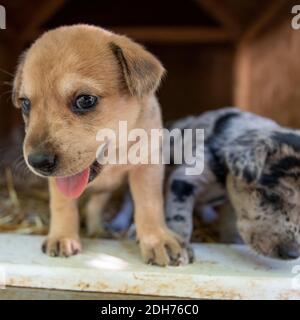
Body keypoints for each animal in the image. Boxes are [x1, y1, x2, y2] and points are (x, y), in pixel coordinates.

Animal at [12, 24, 183, 264]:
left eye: (85, 100)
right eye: (26, 104)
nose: (37, 162)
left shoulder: (147, 166)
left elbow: (149, 204)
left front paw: (157, 239)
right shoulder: (60, 184)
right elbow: (62, 205)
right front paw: (62, 236)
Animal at [166, 107, 300, 260]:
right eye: (272, 196)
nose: (292, 254)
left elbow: (230, 225)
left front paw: (233, 242)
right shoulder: (185, 178)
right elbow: (180, 218)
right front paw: (181, 252)